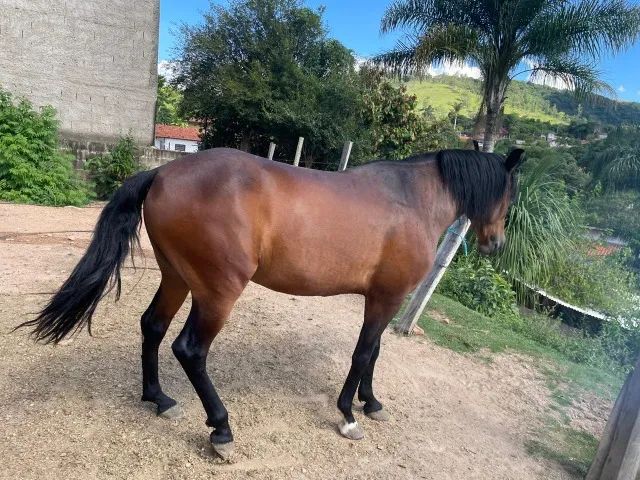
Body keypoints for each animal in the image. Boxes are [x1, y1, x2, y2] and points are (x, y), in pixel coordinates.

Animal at [18, 147, 524, 460]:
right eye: (510, 194)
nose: (496, 244)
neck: (410, 200)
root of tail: (163, 172)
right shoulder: (386, 298)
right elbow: (363, 353)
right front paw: (348, 414)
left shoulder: (385, 300)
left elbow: (375, 353)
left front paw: (372, 403)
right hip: (218, 292)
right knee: (189, 349)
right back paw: (221, 429)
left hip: (176, 278)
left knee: (152, 327)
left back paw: (158, 398)